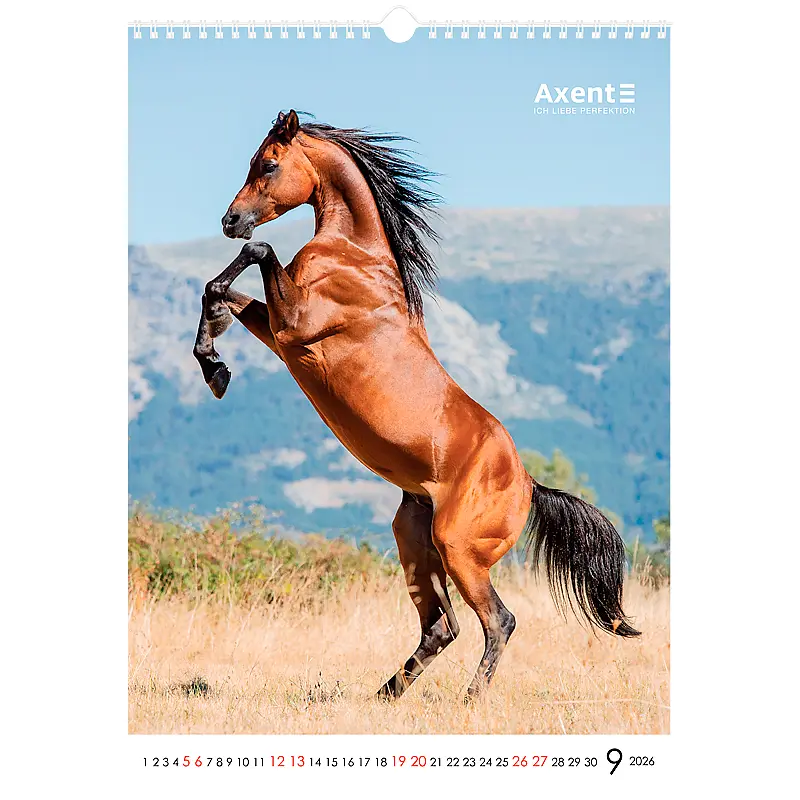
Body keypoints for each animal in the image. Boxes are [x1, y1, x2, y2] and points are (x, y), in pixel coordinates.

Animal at [193, 109, 640, 701]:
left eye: (268, 164)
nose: (230, 220)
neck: (356, 256)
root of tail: (528, 484)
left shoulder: (296, 326)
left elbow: (257, 254)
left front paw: (215, 359)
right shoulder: (283, 333)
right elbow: (220, 291)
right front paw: (214, 365)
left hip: (458, 549)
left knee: (497, 621)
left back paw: (469, 700)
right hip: (414, 536)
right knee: (441, 627)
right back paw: (383, 696)